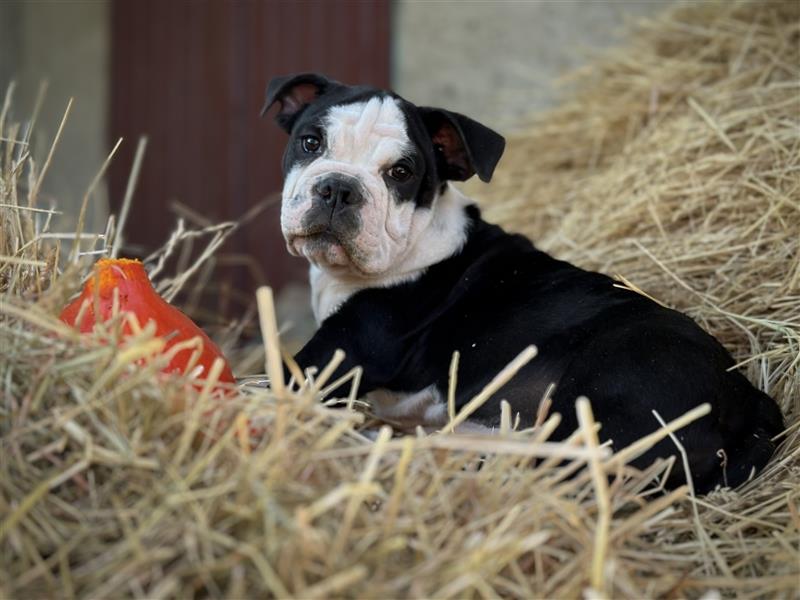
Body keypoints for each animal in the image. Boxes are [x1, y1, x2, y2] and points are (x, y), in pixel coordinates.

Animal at [260, 72, 780, 492]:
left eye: (401, 173)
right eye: (310, 143)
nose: (338, 188)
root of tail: (748, 397)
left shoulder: (339, 351)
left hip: (606, 402)